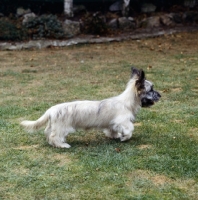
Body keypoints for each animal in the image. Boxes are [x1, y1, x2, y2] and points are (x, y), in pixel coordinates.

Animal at [20, 68, 161, 148]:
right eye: (151, 89)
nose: (160, 95)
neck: (126, 102)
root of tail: (51, 110)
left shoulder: (112, 123)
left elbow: (112, 130)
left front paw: (115, 136)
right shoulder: (122, 121)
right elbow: (130, 129)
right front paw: (124, 138)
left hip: (53, 126)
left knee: (48, 134)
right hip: (61, 127)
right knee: (54, 137)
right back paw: (63, 145)